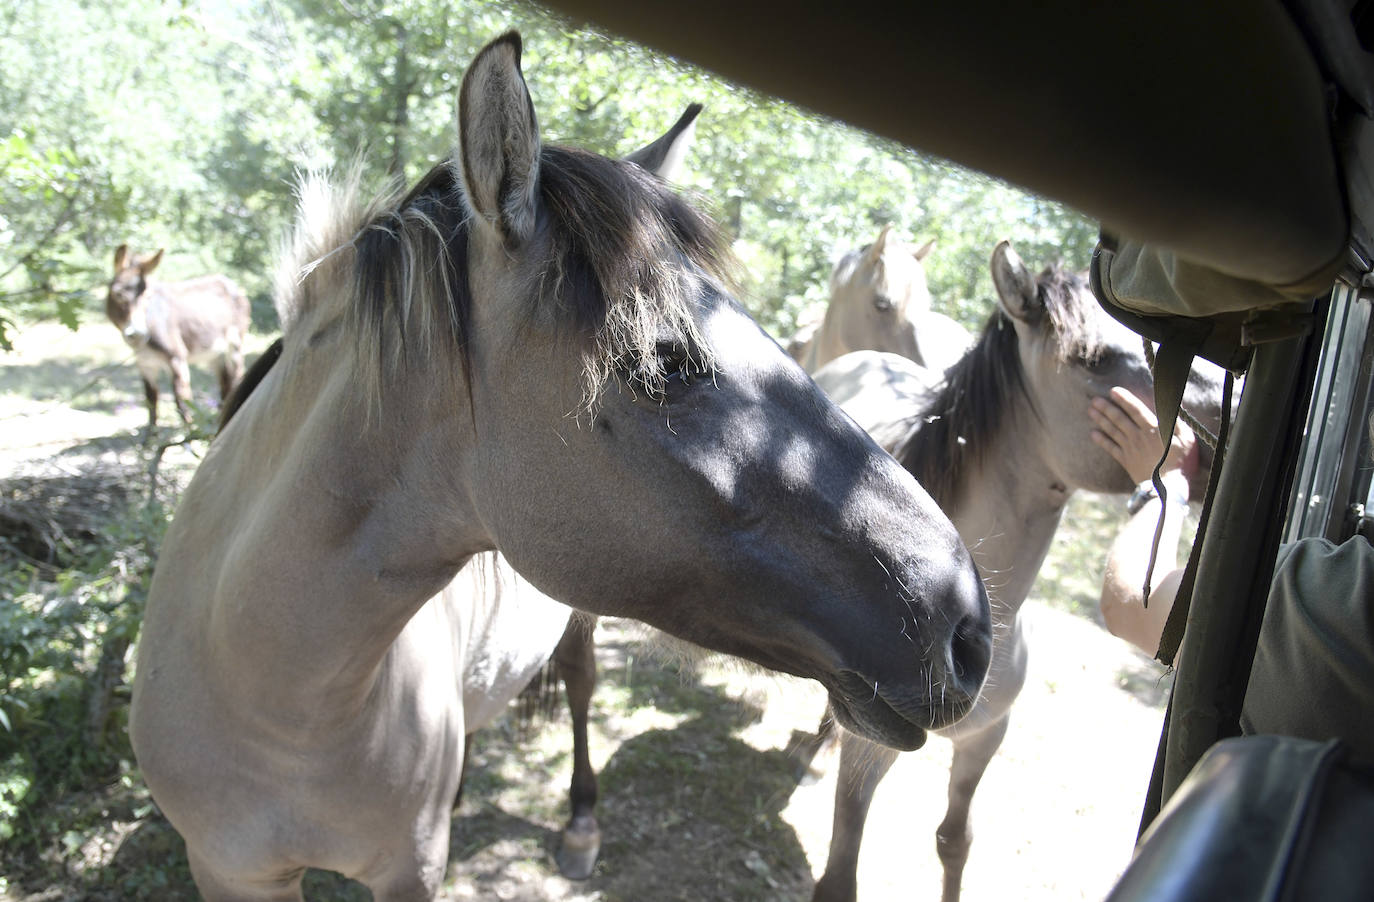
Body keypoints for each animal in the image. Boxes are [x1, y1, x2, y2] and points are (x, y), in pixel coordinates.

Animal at [105, 243, 251, 426]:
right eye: (117, 293)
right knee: (225, 382)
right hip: (214, 353)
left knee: (237, 375)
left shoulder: (177, 358)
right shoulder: (145, 364)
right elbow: (151, 401)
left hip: (235, 344)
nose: (137, 334)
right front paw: (151, 434)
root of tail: (229, 282)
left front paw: (189, 430)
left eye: (147, 296)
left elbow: (181, 401)